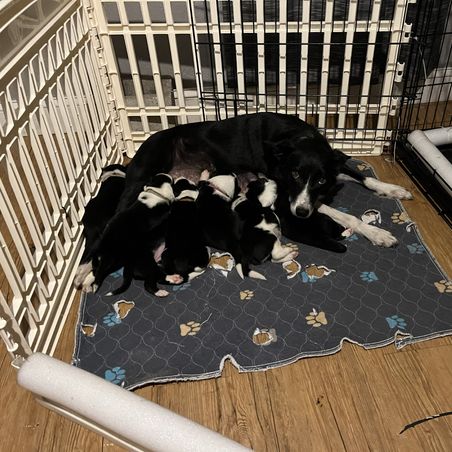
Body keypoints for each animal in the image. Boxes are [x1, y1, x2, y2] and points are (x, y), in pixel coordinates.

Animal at [118, 113, 412, 250]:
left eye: (320, 180)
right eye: (295, 175)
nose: (300, 213)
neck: (300, 139)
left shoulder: (332, 166)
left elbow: (365, 177)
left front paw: (393, 189)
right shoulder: (288, 193)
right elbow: (343, 215)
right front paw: (378, 234)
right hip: (141, 175)